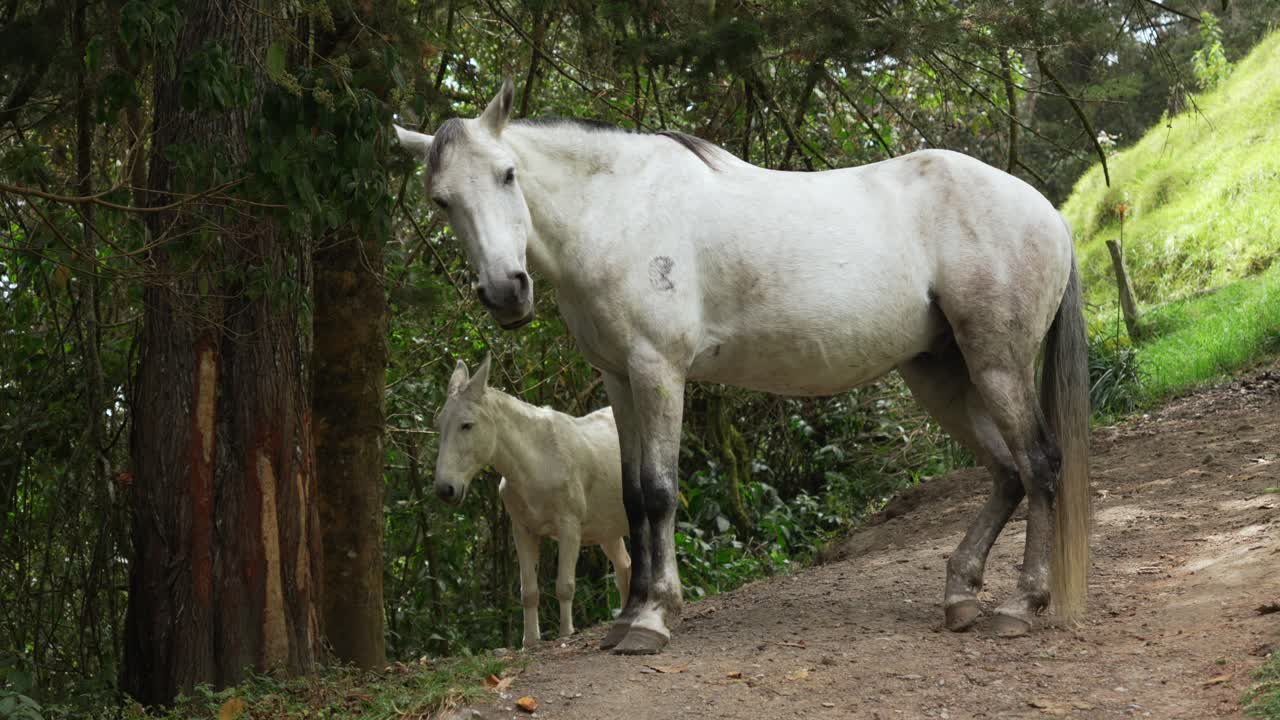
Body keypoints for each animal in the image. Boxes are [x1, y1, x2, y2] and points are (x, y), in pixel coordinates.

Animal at [433, 355, 631, 649]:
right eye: (439, 424)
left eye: (466, 425)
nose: (444, 490)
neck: (535, 462)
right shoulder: (523, 530)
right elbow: (528, 590)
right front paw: (530, 641)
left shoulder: (569, 526)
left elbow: (564, 586)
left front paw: (566, 633)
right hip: (609, 529)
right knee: (624, 566)